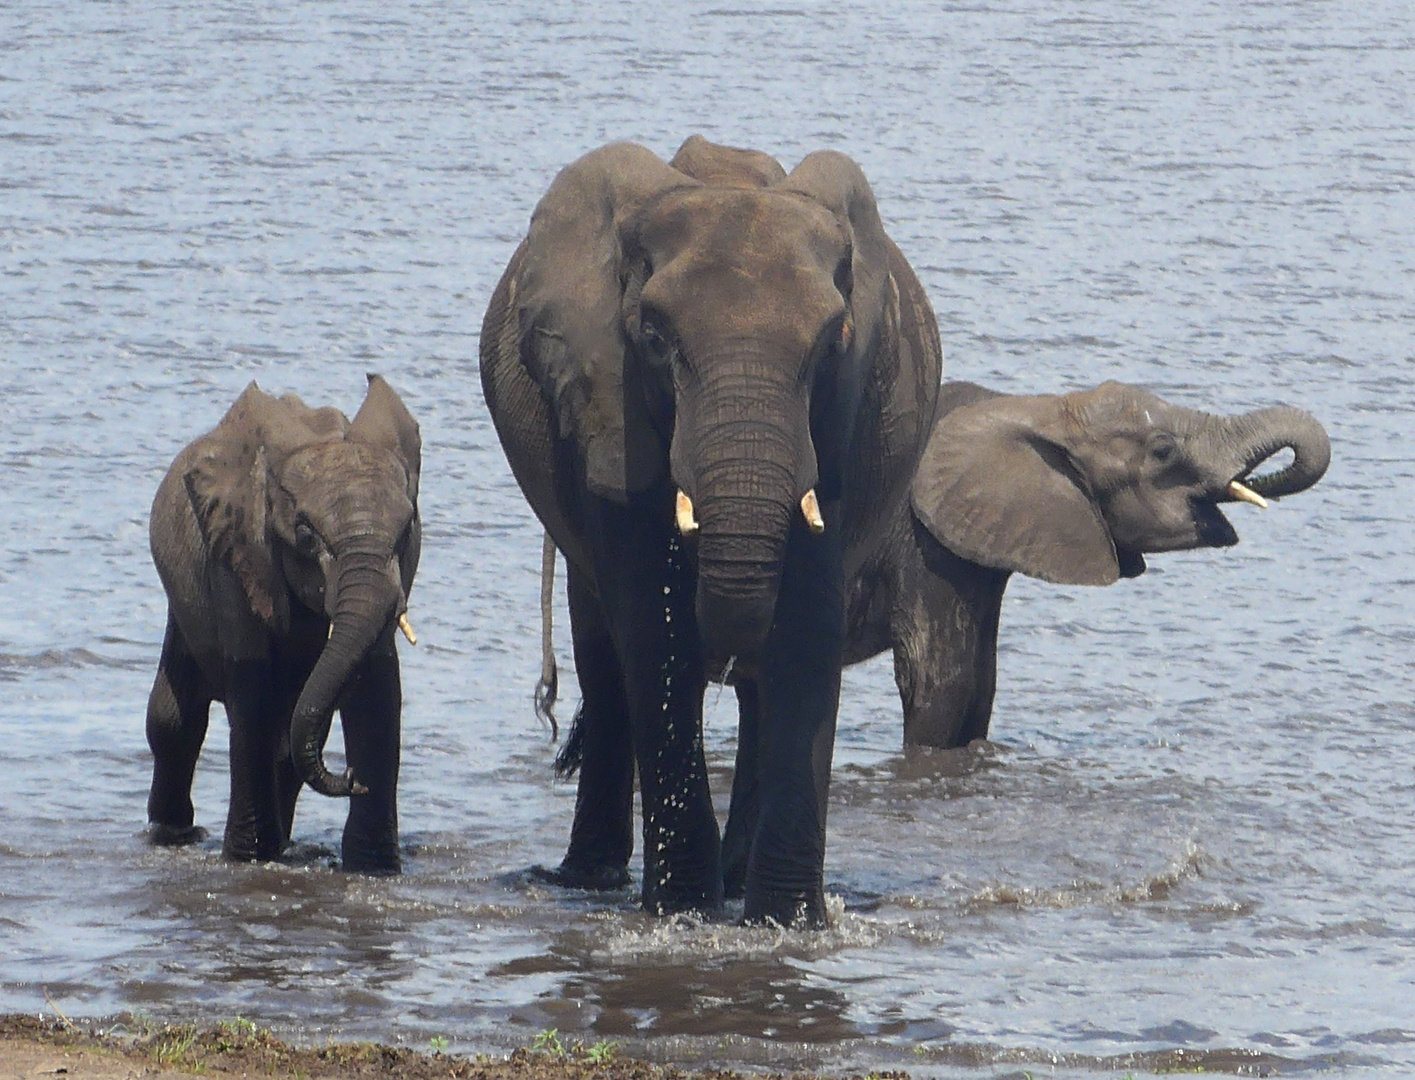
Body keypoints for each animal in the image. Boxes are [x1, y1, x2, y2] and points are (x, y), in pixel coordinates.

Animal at [145, 376, 418, 871]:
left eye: (407, 530)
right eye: (306, 533)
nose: (352, 777)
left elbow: (377, 686)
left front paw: (374, 868)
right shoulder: (235, 553)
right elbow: (252, 688)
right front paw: (248, 858)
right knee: (175, 720)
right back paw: (175, 833)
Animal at [481, 137, 945, 928]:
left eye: (831, 345)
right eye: (656, 339)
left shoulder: (841, 422)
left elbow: (805, 628)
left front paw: (785, 923)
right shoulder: (610, 405)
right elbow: (652, 631)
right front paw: (685, 915)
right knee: (603, 653)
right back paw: (590, 878)